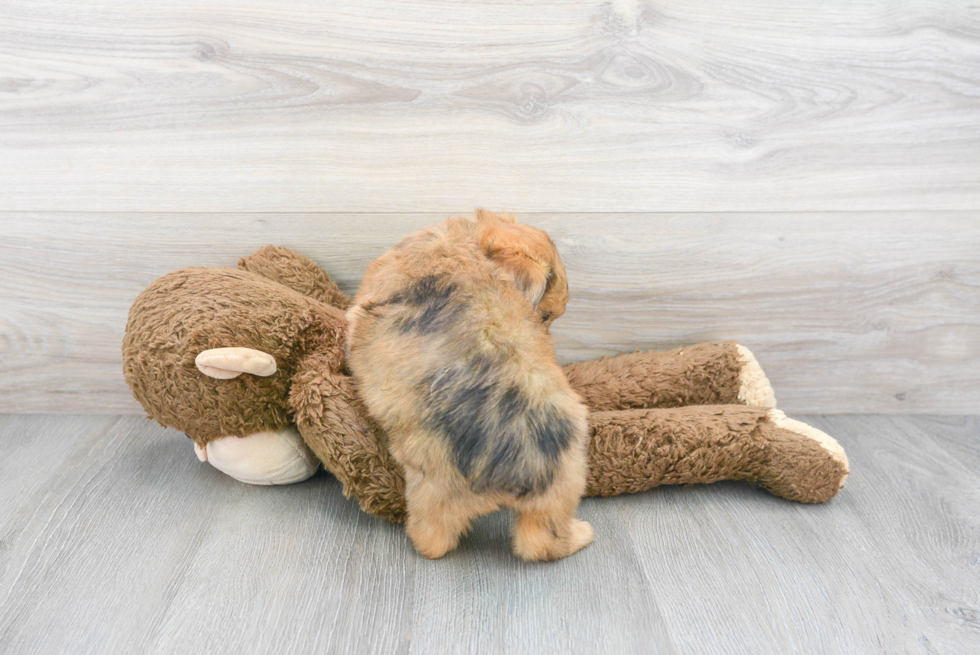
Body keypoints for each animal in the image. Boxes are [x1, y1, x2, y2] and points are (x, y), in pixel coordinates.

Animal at [348, 211, 592, 564]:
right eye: (544, 316)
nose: (545, 336)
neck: (461, 247)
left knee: (440, 542)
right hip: (565, 478)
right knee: (537, 539)